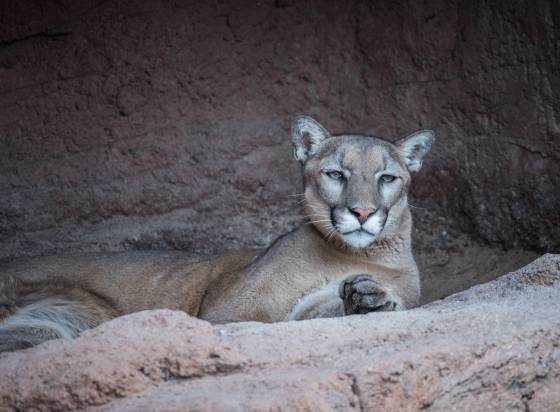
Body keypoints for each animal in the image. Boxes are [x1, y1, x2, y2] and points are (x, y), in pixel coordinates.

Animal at [0, 116, 434, 350]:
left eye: (387, 178)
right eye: (336, 174)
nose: (362, 212)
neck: (356, 254)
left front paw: (369, 298)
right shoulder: (227, 309)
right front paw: (363, 297)